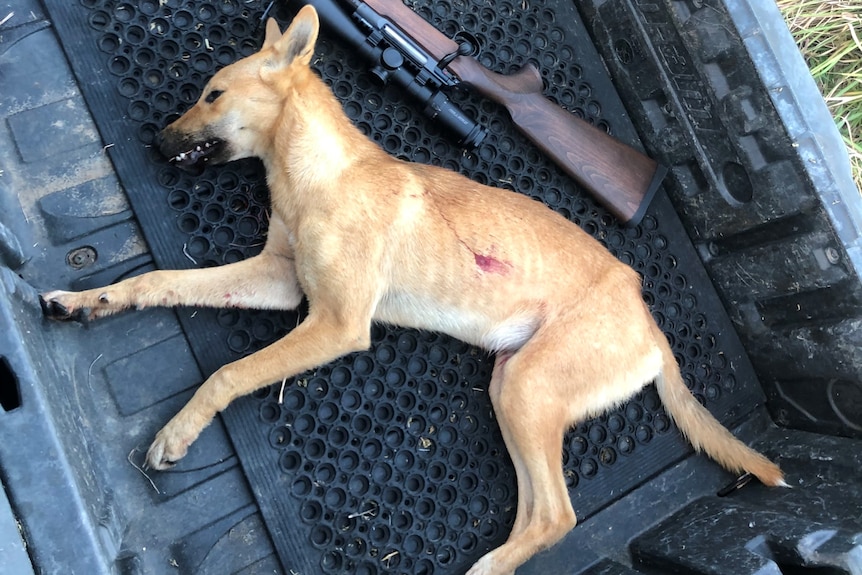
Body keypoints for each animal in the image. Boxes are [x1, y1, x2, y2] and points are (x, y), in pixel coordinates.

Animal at [40, 9, 788, 575]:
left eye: (213, 94)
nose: (155, 140)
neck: (319, 175)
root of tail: (649, 320)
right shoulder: (279, 283)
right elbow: (163, 281)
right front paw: (94, 300)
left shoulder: (336, 323)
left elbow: (230, 372)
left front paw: (178, 434)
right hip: (510, 385)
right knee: (540, 512)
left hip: (527, 391)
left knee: (557, 515)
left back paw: (486, 568)